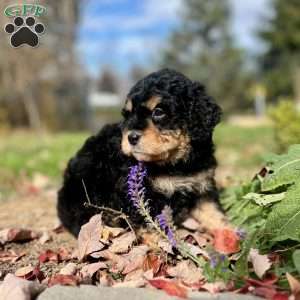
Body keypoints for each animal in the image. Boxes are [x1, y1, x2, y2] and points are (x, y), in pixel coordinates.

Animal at [57, 68, 229, 237]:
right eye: (127, 114)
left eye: (158, 111)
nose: (131, 137)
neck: (175, 164)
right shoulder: (138, 195)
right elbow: (150, 226)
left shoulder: (201, 186)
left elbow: (215, 214)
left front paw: (229, 236)